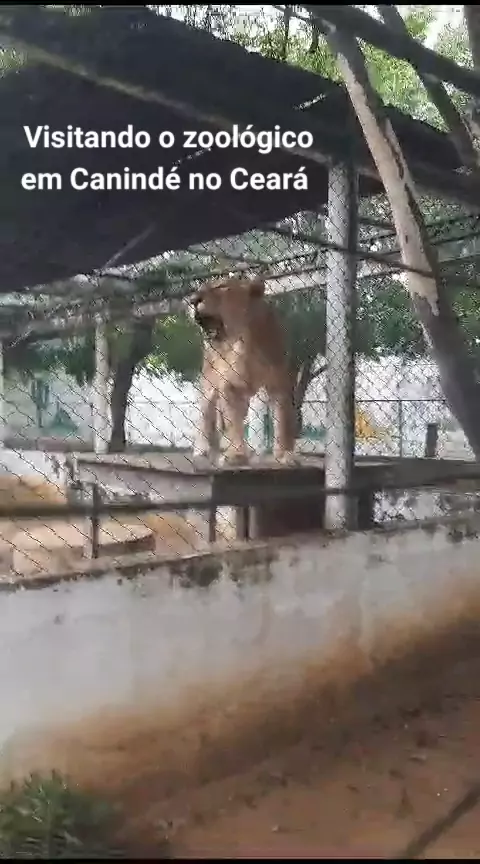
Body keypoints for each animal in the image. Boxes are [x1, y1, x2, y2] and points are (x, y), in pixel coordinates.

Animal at [189, 274, 296, 465]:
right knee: (206, 415)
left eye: (221, 287)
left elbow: (282, 421)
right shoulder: (229, 387)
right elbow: (233, 423)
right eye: (199, 288)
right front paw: (236, 454)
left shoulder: (279, 385)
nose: (193, 300)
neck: (244, 341)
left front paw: (284, 454)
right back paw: (202, 449)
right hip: (209, 386)